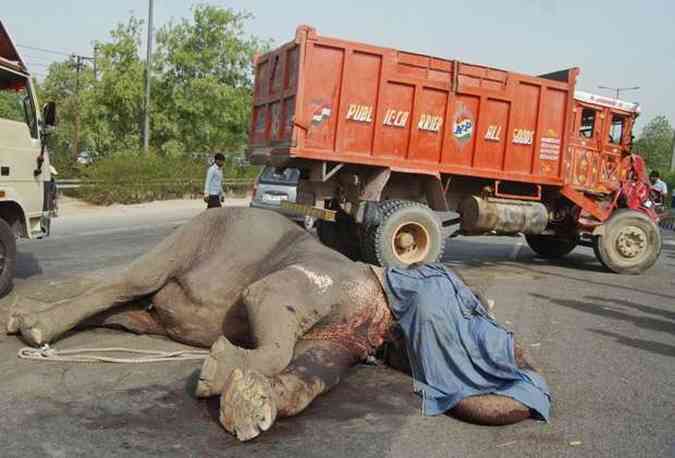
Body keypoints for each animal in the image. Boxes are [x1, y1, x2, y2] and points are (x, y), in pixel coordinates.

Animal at [6, 207, 548, 440]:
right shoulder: (335, 279)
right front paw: (219, 370)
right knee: (130, 279)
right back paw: (31, 328)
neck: (381, 285)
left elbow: (315, 369)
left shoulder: (350, 331)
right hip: (193, 232)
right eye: (476, 309)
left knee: (134, 310)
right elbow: (267, 301)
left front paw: (250, 404)